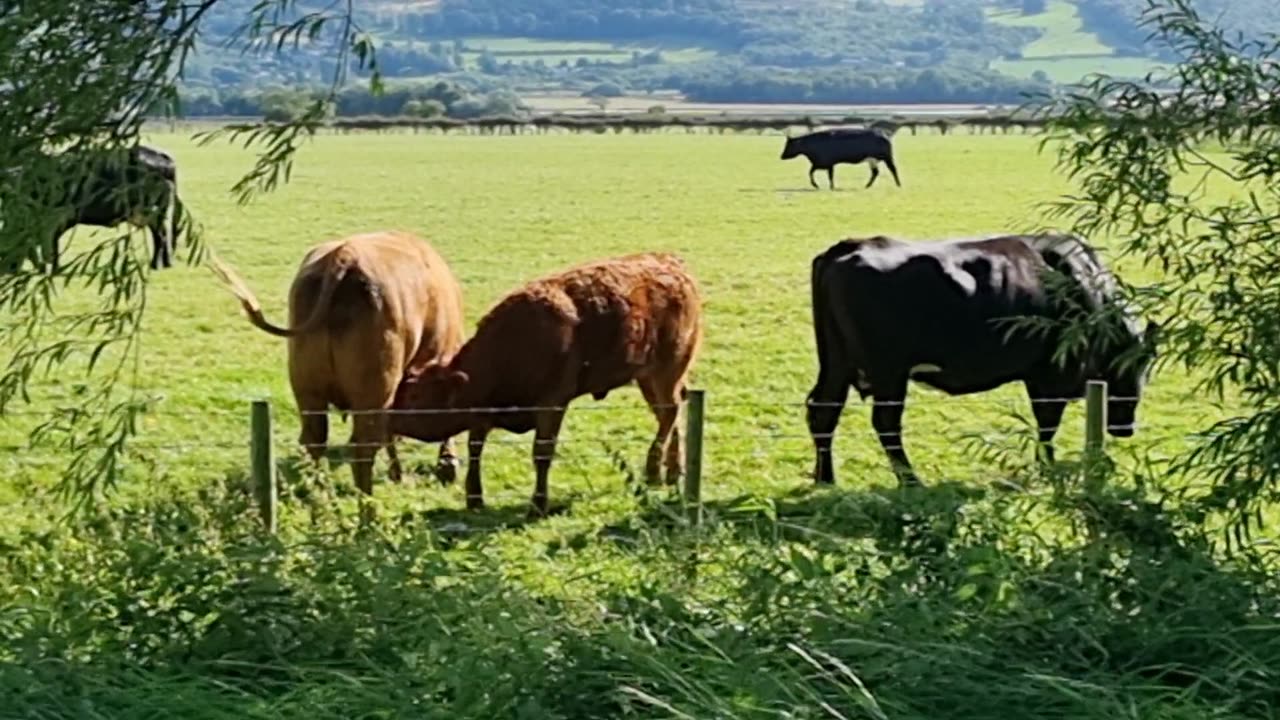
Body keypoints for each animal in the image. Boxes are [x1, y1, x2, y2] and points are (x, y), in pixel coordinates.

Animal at [207, 229, 468, 491]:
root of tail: (343, 257)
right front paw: (445, 467)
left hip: (308, 388)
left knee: (314, 440)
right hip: (374, 391)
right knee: (362, 446)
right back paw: (366, 498)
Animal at [391, 251, 706, 515]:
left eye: (415, 397)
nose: (388, 415)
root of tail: (670, 263)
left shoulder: (552, 404)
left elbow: (541, 453)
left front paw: (538, 504)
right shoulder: (482, 413)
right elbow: (475, 449)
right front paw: (474, 498)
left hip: (666, 372)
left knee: (669, 412)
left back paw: (653, 470)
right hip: (648, 378)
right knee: (670, 414)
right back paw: (672, 471)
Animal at [808, 233, 1162, 484]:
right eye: (1137, 368)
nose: (1125, 429)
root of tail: (848, 246)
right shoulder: (1050, 375)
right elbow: (1047, 422)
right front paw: (1046, 466)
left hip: (836, 364)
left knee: (823, 411)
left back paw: (826, 478)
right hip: (889, 373)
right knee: (885, 423)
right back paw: (910, 480)